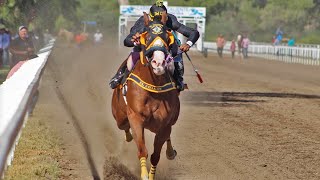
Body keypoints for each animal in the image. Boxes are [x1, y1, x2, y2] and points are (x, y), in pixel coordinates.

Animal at [111, 11, 179, 179]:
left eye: (167, 37)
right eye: (147, 36)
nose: (158, 63)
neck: (153, 88)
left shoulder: (164, 125)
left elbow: (156, 155)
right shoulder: (136, 117)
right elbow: (142, 150)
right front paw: (143, 175)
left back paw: (170, 152)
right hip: (120, 116)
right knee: (124, 127)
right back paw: (128, 137)